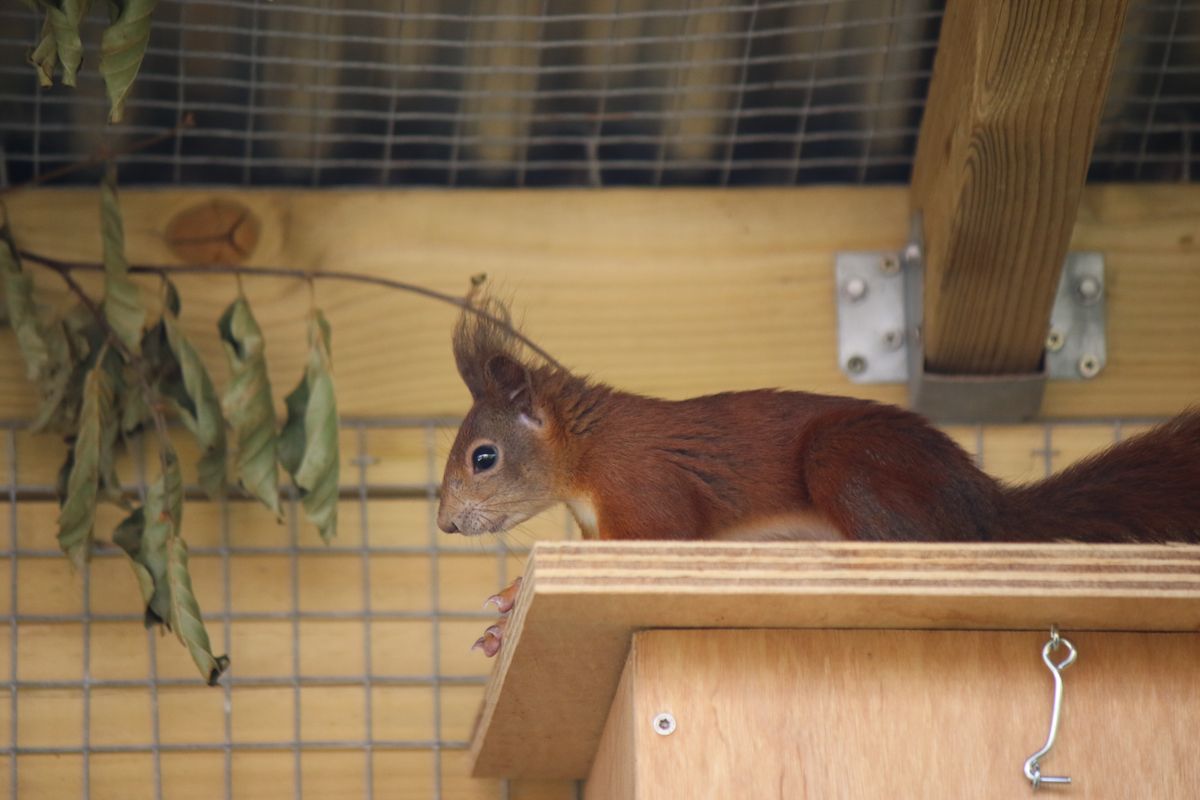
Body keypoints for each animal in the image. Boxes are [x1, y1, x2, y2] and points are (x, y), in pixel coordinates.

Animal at [436, 298, 1200, 655]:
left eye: (484, 457)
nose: (444, 523)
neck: (586, 454)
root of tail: (981, 503)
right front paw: (499, 628)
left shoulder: (645, 489)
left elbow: (652, 537)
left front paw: (510, 598)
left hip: (848, 462)